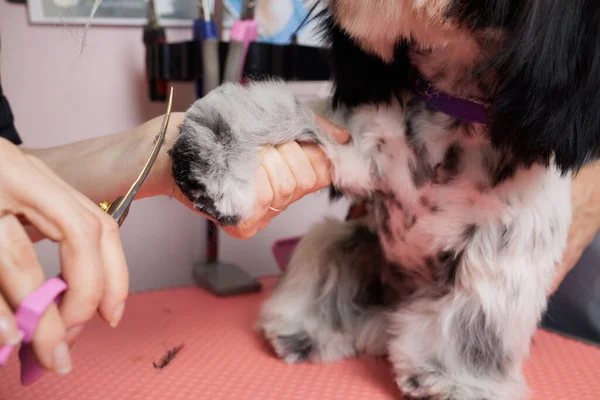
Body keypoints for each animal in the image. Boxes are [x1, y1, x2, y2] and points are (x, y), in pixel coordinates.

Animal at [168, 0, 600, 400]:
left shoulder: (506, 244)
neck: (450, 107)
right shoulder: (359, 148)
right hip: (348, 238)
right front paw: (212, 157)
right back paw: (302, 331)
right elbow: (282, 111)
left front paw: (453, 381)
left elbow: (476, 321)